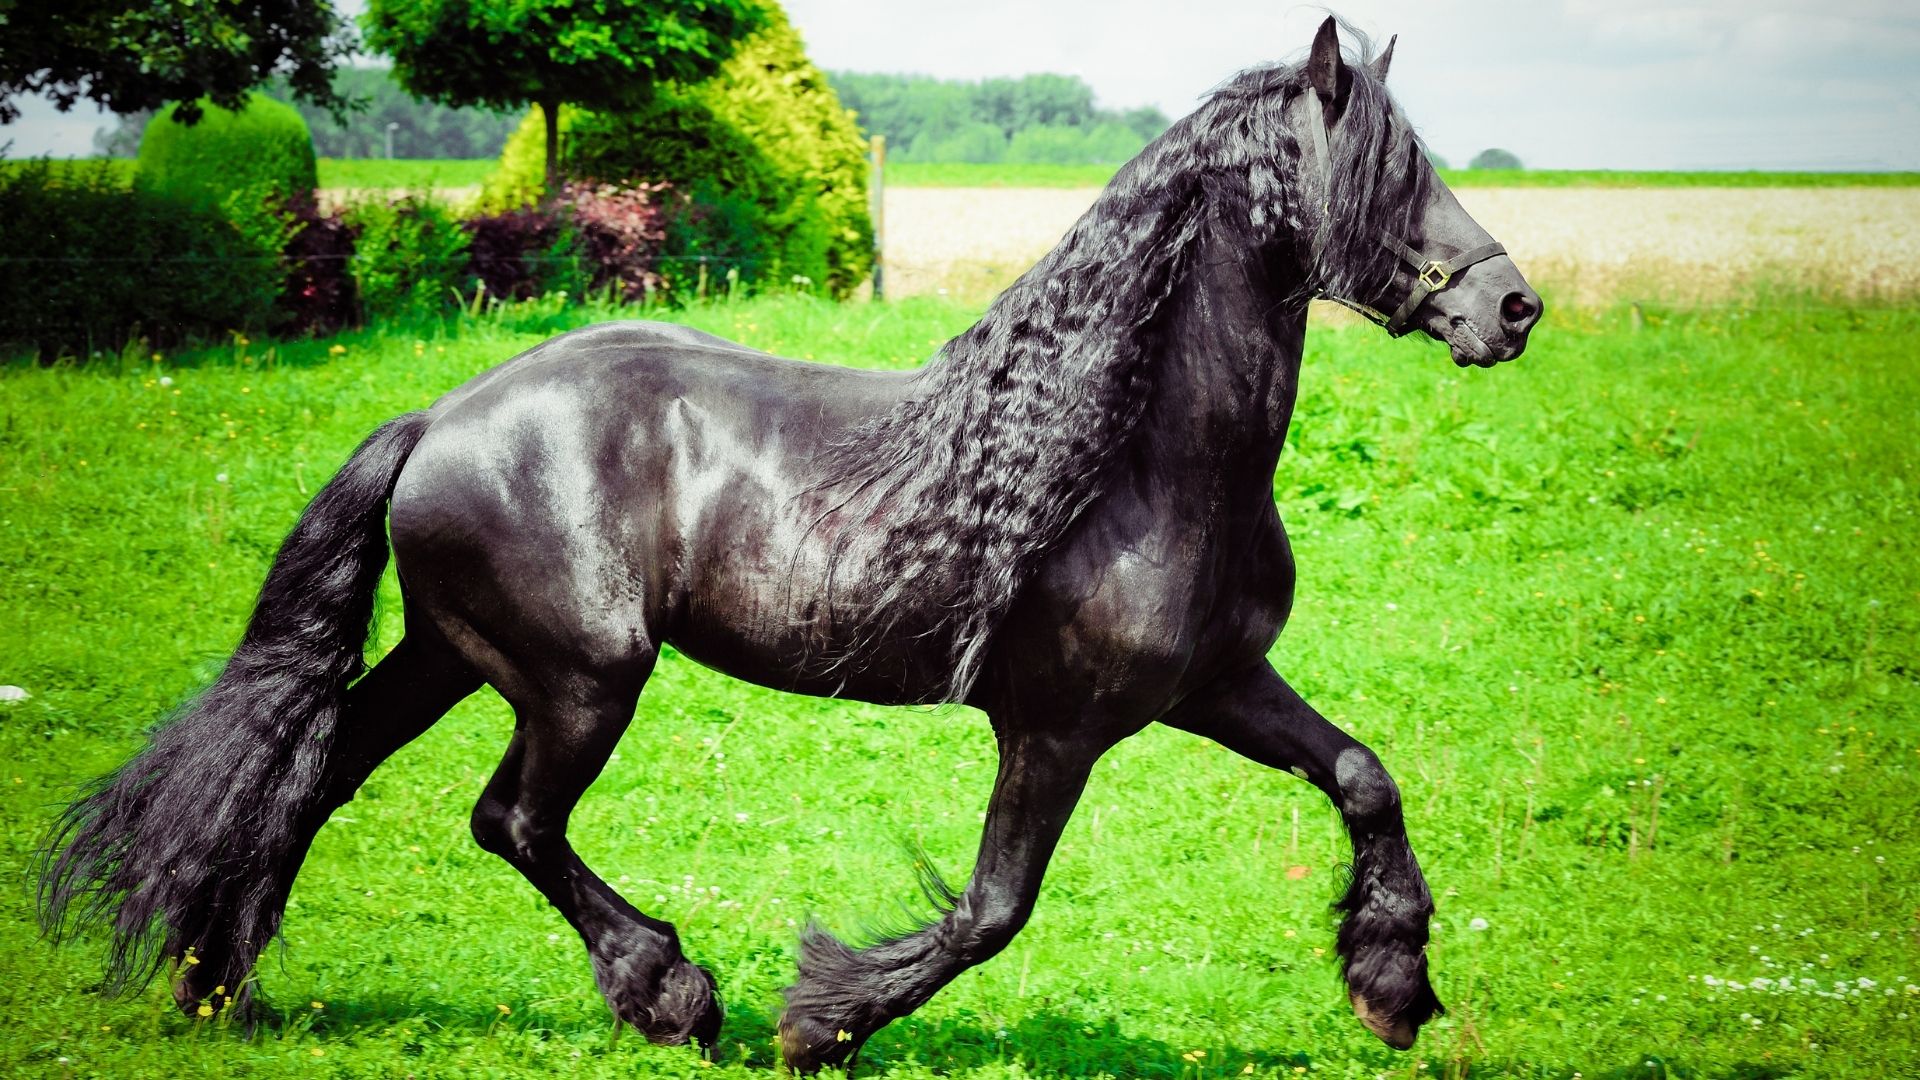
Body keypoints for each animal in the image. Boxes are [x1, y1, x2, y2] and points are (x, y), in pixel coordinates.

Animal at [41, 18, 1543, 1068]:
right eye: (1396, 172)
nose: (1513, 308)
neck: (1132, 464)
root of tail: (440, 418)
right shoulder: (1055, 727)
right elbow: (993, 911)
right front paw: (815, 1024)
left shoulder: (1217, 687)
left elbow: (1362, 777)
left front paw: (1392, 988)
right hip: (580, 679)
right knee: (510, 818)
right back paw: (671, 997)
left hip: (453, 654)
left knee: (315, 776)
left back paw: (217, 988)